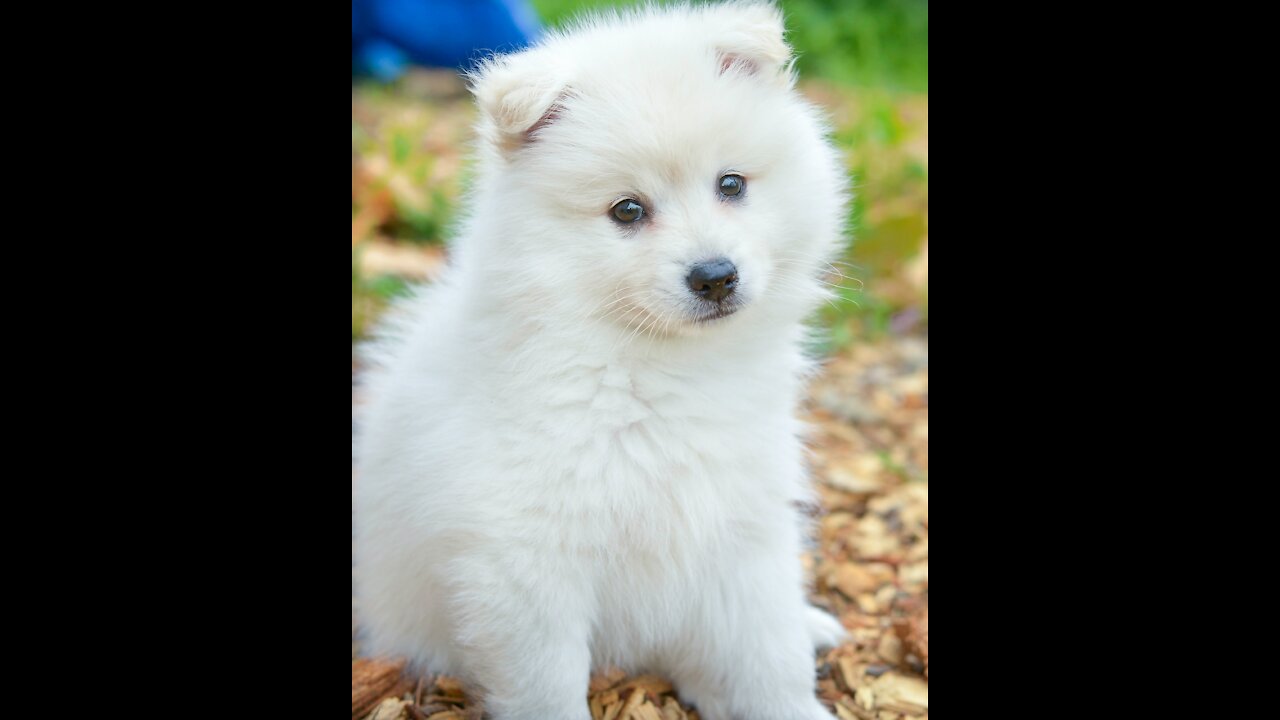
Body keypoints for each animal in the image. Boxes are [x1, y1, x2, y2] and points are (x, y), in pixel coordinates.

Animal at [355, 2, 849, 712]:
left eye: (731, 184)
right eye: (628, 210)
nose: (715, 276)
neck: (652, 368)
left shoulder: (743, 523)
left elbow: (770, 652)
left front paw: (792, 705)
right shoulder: (526, 566)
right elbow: (548, 690)